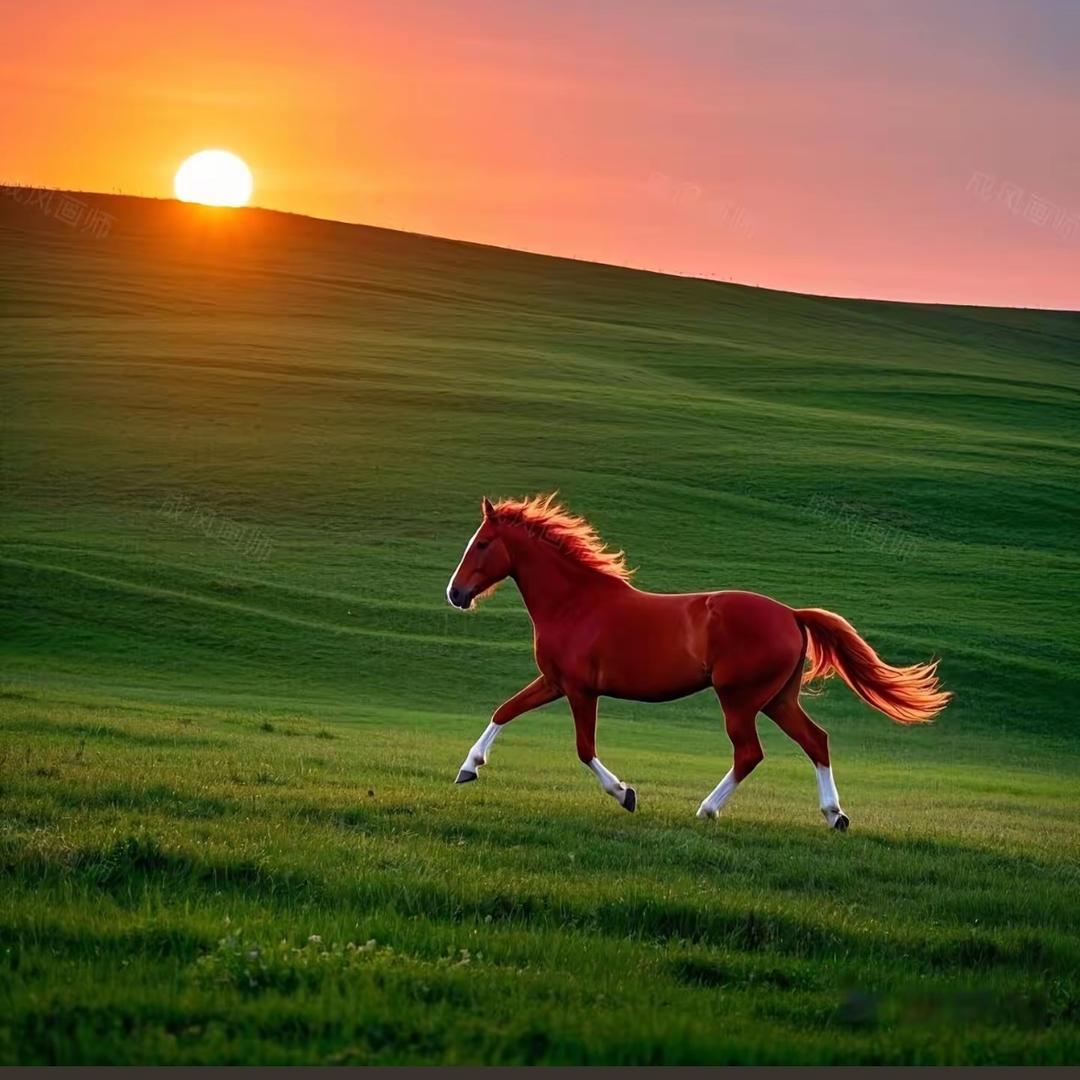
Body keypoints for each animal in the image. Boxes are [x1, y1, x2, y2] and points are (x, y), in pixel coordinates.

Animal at [446, 494, 949, 827]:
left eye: (482, 543)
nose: (455, 593)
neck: (576, 604)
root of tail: (790, 614)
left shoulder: (579, 690)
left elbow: (584, 748)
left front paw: (626, 794)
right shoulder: (553, 682)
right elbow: (505, 711)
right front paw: (468, 768)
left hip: (739, 700)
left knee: (750, 753)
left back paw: (707, 809)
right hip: (778, 700)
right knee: (816, 741)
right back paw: (834, 815)